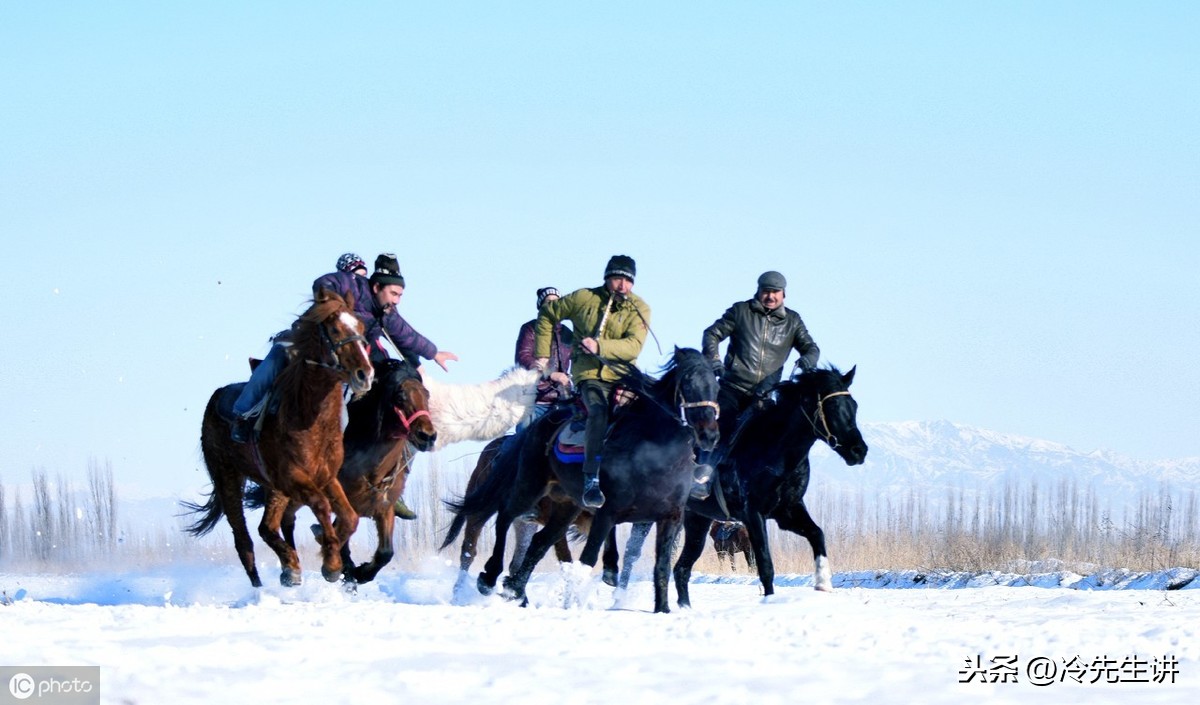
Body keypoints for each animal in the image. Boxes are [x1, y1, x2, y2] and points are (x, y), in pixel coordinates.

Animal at [180, 288, 369, 587]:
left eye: (361, 328)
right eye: (335, 329)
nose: (365, 374)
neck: (308, 418)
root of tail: (216, 398)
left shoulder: (326, 477)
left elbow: (349, 517)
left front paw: (328, 557)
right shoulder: (295, 479)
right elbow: (321, 505)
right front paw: (331, 563)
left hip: (273, 488)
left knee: (266, 527)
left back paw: (290, 567)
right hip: (228, 478)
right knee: (244, 541)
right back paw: (263, 585)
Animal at [446, 347, 715, 611]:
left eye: (716, 382)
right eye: (687, 381)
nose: (709, 435)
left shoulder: (670, 518)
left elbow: (661, 565)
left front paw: (663, 609)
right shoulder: (606, 513)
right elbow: (587, 559)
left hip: (565, 507)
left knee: (537, 543)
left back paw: (515, 590)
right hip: (529, 487)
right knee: (495, 525)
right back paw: (486, 580)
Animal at [676, 366, 864, 609]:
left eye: (854, 406)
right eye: (832, 407)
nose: (859, 450)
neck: (772, 450)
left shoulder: (788, 511)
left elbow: (817, 534)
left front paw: (823, 583)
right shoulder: (753, 514)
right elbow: (765, 564)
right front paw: (770, 599)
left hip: (697, 522)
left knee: (681, 568)